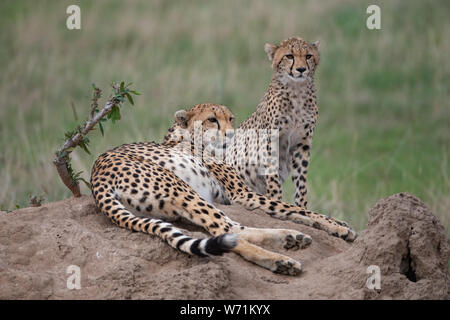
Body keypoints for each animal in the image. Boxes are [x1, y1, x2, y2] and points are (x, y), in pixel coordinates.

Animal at [91, 103, 356, 276]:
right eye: (212, 119)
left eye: (231, 118)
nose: (230, 134)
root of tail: (97, 176)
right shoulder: (244, 195)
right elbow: (297, 209)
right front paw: (340, 228)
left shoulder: (234, 196)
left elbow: (295, 211)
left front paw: (337, 225)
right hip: (183, 189)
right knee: (227, 230)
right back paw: (281, 260)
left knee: (235, 229)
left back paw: (291, 238)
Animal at [227, 36, 322, 209]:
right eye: (289, 56)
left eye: (308, 56)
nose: (301, 69)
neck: (297, 91)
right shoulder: (270, 139)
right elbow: (272, 176)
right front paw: (276, 200)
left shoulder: (302, 143)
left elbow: (301, 181)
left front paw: (302, 206)